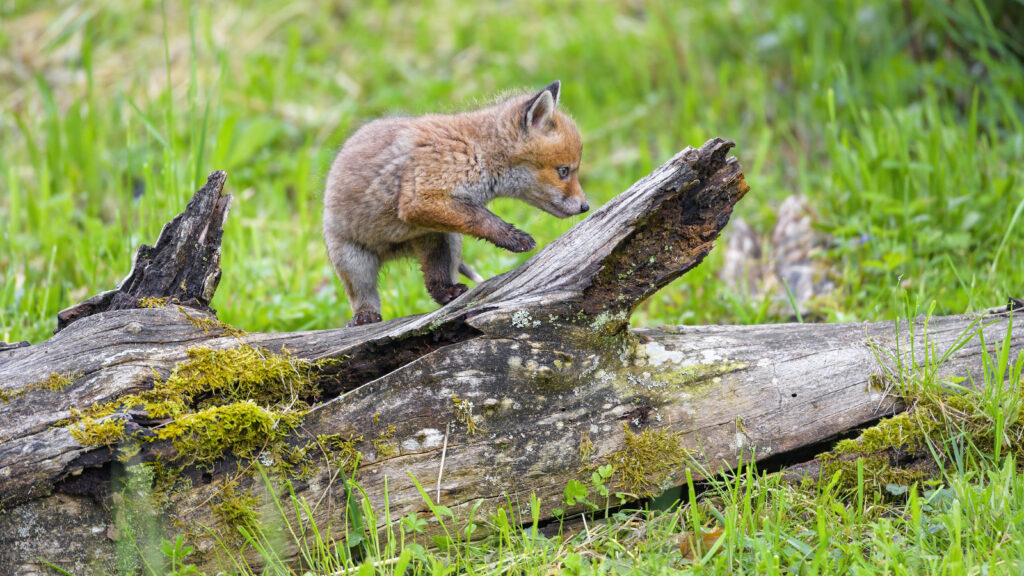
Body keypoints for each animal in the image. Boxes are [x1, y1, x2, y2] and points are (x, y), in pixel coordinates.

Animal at [323, 80, 587, 326]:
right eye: (564, 171)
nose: (585, 207)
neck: (477, 151)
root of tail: (396, 250)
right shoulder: (420, 200)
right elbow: (481, 216)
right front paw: (512, 237)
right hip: (354, 262)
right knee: (362, 296)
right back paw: (365, 315)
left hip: (442, 239)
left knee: (435, 280)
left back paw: (447, 293)